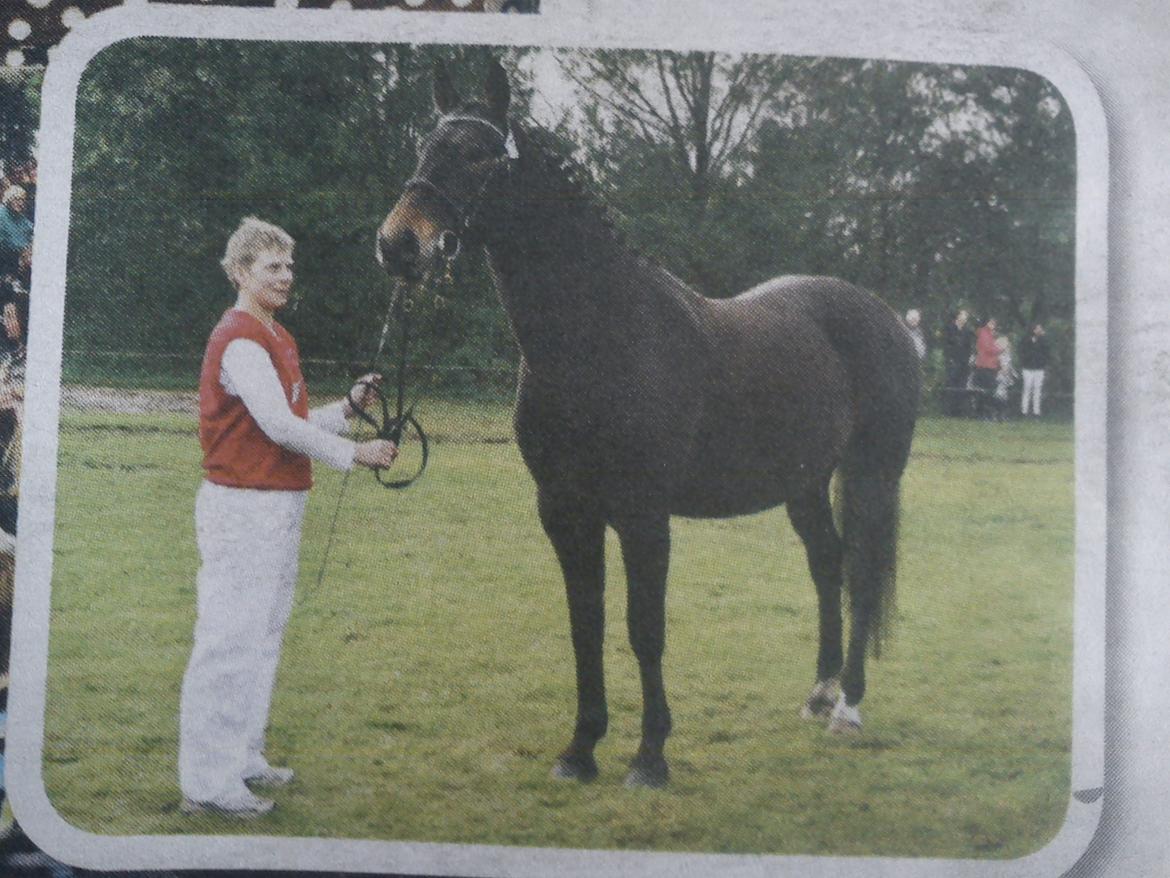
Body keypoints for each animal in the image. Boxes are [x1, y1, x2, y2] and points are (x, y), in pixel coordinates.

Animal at [379, 62, 917, 791]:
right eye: (423, 148)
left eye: (478, 154)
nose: (398, 244)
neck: (600, 337)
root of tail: (887, 319)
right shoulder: (564, 510)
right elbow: (586, 624)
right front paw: (580, 750)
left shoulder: (642, 514)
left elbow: (644, 627)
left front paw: (650, 757)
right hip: (803, 485)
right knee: (827, 564)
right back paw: (820, 693)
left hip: (871, 475)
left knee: (859, 571)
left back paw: (850, 707)